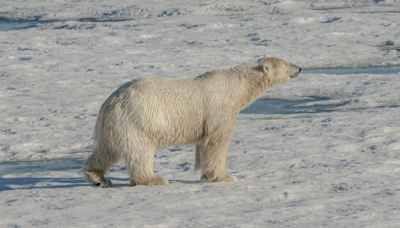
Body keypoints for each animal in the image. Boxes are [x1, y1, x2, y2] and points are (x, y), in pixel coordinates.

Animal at [82, 57, 300, 187]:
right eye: (286, 63)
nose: (299, 68)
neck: (237, 86)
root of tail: (110, 103)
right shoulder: (219, 108)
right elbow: (218, 141)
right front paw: (225, 176)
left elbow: (204, 145)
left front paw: (206, 174)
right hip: (138, 119)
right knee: (140, 152)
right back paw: (154, 179)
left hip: (115, 125)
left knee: (106, 150)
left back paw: (98, 177)